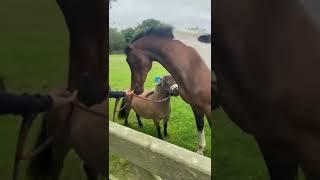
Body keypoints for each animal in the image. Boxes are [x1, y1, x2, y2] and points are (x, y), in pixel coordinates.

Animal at [124, 26, 211, 154]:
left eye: (130, 60)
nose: (136, 90)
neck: (196, 64)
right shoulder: (197, 106)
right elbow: (200, 126)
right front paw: (199, 152)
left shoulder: (209, 108)